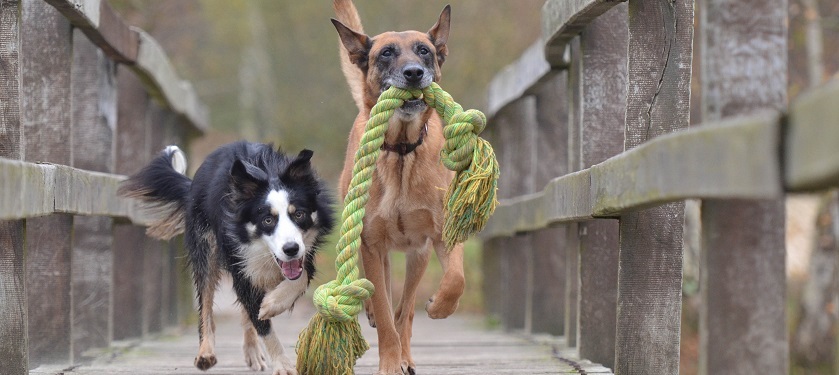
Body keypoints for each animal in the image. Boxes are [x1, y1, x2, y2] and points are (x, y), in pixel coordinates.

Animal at [120, 142, 334, 375]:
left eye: (299, 214)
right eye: (268, 220)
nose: (291, 249)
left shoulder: (306, 252)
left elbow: (299, 278)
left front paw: (272, 304)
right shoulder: (239, 261)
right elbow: (262, 323)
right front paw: (283, 364)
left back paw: (252, 351)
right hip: (205, 247)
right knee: (206, 303)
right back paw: (205, 353)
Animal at [332, 1, 466, 374]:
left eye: (424, 51)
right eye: (386, 53)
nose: (414, 73)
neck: (403, 150)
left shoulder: (441, 235)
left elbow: (455, 279)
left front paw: (439, 307)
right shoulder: (371, 244)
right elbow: (382, 310)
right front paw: (389, 363)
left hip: (417, 256)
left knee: (405, 310)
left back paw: (408, 352)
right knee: (383, 297)